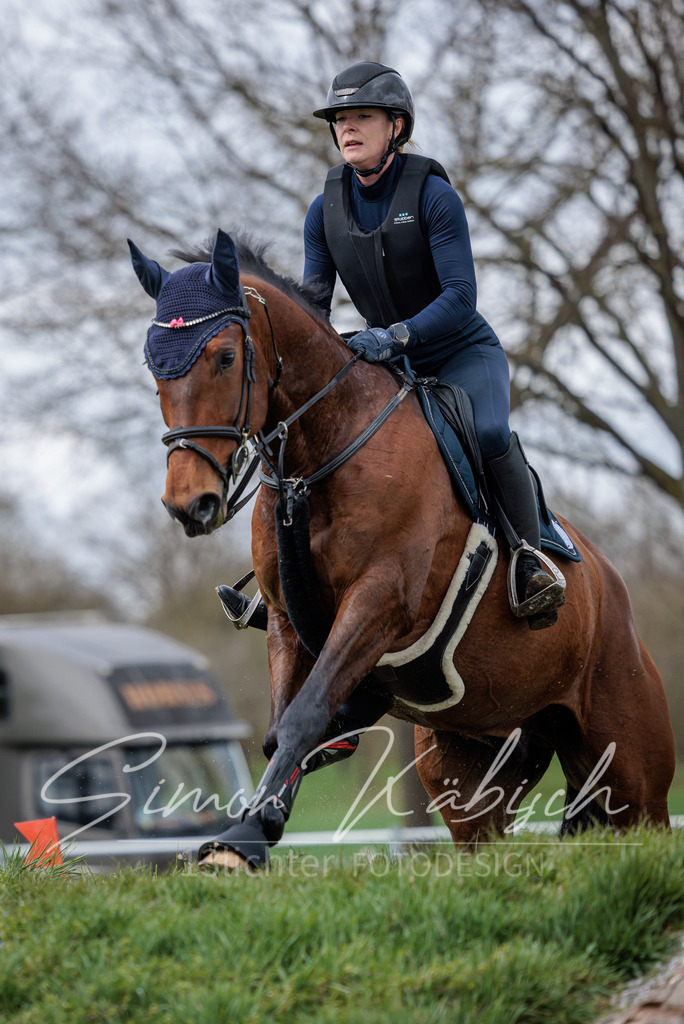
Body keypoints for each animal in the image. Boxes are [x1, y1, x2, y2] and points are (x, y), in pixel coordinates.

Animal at [129, 228, 675, 869]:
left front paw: (248, 835)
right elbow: (282, 725)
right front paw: (252, 830)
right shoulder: (289, 620)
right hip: (473, 768)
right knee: (483, 834)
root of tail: (611, 593)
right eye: (154, 366)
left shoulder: (379, 603)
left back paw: (538, 579)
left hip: (631, 772)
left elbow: (303, 717)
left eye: (224, 357)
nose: (189, 504)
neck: (319, 456)